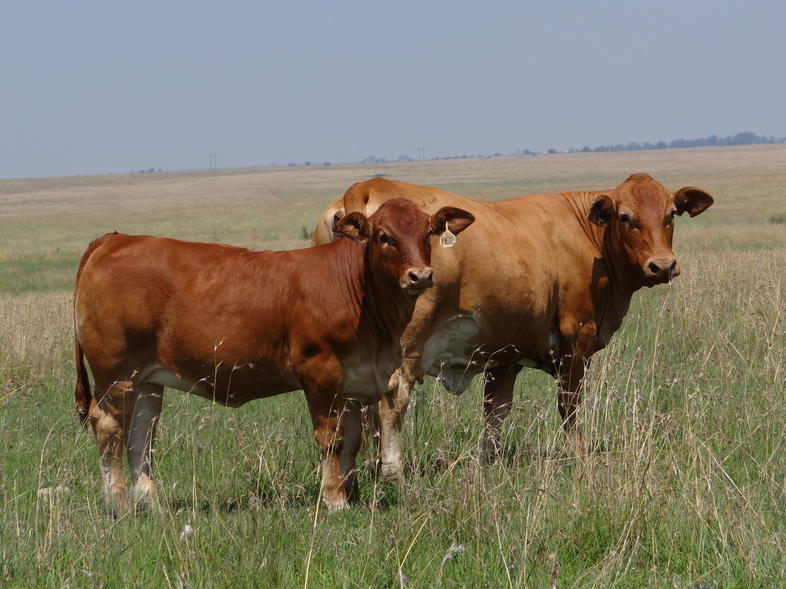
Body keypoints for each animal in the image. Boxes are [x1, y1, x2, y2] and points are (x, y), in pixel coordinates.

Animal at [75, 198, 472, 510]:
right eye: (384, 236)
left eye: (427, 233)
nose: (420, 276)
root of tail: (115, 238)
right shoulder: (320, 371)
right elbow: (330, 438)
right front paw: (335, 500)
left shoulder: (356, 378)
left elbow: (352, 439)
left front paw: (351, 494)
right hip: (116, 375)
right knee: (110, 428)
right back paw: (118, 503)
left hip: (146, 380)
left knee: (141, 434)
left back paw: (150, 503)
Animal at [310, 173, 712, 474]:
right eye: (626, 217)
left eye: (671, 214)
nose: (662, 265)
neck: (587, 234)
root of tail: (365, 189)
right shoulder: (575, 338)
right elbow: (569, 406)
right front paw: (579, 454)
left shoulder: (504, 354)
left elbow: (496, 411)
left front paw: (488, 461)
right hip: (403, 349)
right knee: (392, 399)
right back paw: (391, 469)